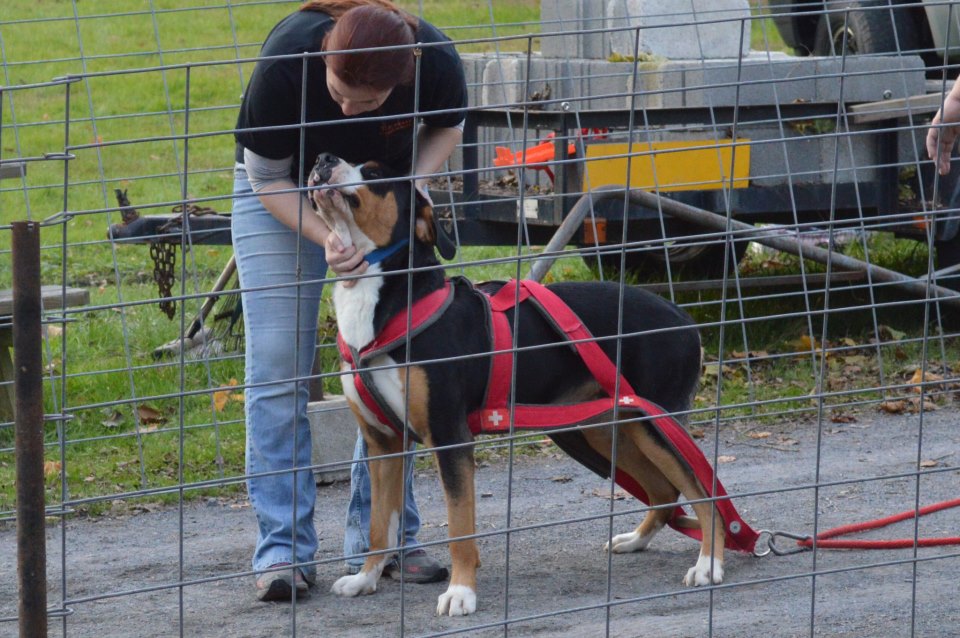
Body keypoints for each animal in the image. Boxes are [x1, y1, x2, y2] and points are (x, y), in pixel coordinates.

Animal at [312, 152, 724, 616]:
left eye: (375, 172)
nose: (323, 158)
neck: (388, 303)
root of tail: (685, 320)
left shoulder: (450, 438)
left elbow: (459, 525)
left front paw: (461, 592)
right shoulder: (383, 444)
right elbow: (378, 524)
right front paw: (365, 579)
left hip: (655, 426)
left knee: (702, 490)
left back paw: (708, 565)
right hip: (608, 428)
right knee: (665, 491)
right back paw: (636, 540)